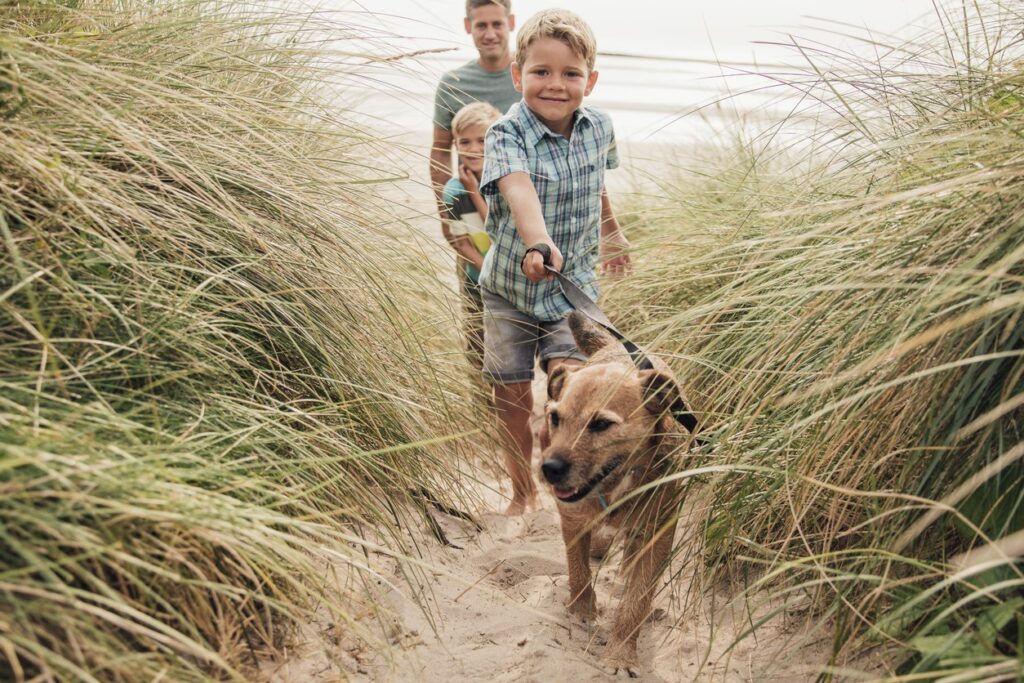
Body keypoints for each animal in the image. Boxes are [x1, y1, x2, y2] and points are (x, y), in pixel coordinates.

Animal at [540, 313, 692, 675]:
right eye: (554, 417)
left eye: (600, 424)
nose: (549, 468)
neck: (615, 485)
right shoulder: (572, 519)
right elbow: (578, 571)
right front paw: (582, 610)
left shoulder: (656, 536)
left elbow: (637, 600)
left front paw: (621, 652)